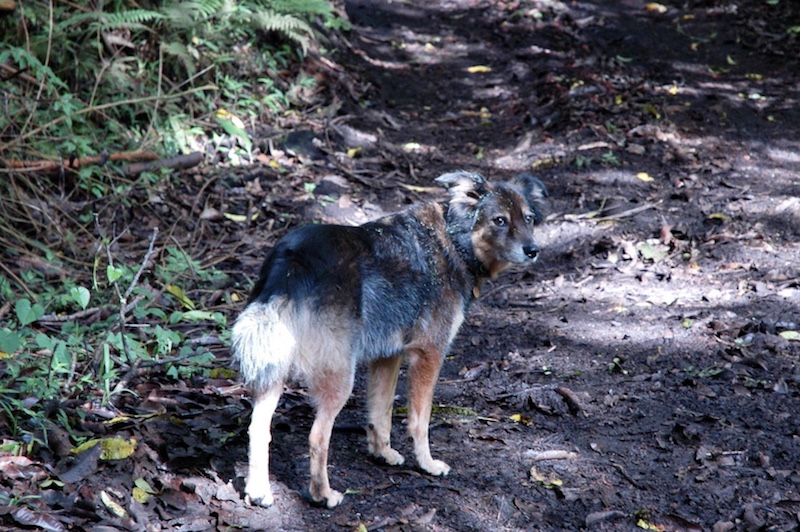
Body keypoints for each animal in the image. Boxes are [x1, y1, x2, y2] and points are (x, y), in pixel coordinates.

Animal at [228, 170, 548, 508]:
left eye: (528, 219)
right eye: (500, 220)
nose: (533, 250)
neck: (452, 240)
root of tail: (293, 261)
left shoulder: (387, 356)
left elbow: (380, 413)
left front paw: (382, 453)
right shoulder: (428, 354)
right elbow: (419, 421)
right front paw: (427, 464)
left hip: (273, 372)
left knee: (258, 428)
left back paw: (259, 490)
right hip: (339, 377)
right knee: (317, 436)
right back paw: (323, 494)